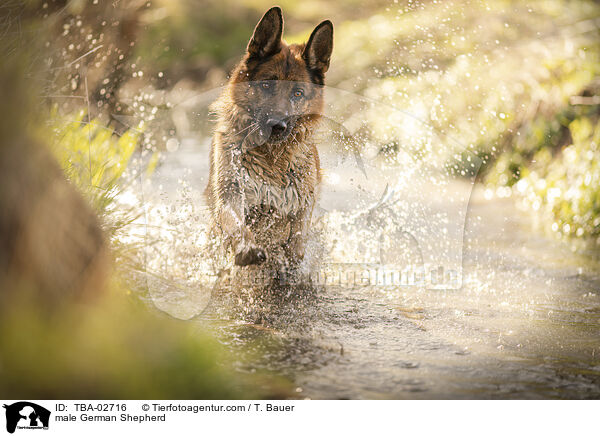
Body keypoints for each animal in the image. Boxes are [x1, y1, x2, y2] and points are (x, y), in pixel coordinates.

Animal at [206, 7, 332, 270]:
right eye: (265, 85)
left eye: (298, 93)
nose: (278, 126)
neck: (272, 159)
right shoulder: (230, 195)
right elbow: (235, 224)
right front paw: (247, 249)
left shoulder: (303, 203)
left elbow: (298, 236)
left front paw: (292, 258)